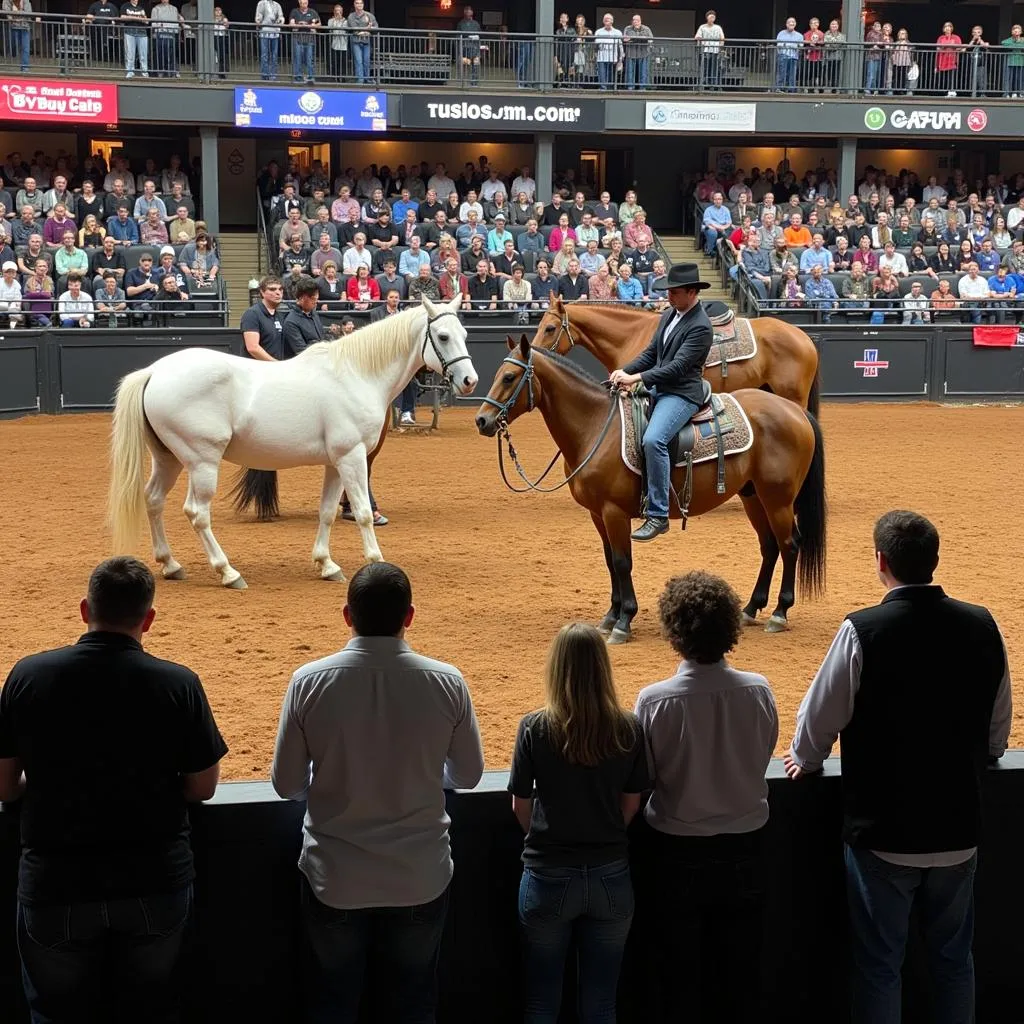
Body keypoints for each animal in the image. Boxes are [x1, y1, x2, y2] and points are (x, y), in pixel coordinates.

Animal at [108, 292, 475, 589]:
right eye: (442, 336)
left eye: (464, 334)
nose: (469, 380)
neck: (355, 375)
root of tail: (154, 372)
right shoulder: (352, 457)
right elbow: (362, 512)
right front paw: (375, 560)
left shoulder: (335, 463)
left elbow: (327, 512)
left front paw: (327, 565)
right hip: (201, 462)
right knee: (197, 513)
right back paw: (228, 572)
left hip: (168, 458)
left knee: (154, 500)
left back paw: (171, 565)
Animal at [475, 335, 827, 638]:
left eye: (509, 377)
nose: (482, 420)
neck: (595, 426)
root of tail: (796, 411)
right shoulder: (597, 515)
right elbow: (610, 561)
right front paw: (611, 615)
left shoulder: (614, 513)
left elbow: (622, 562)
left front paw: (624, 620)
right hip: (753, 496)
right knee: (769, 546)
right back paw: (751, 609)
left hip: (778, 499)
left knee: (789, 545)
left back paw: (779, 613)